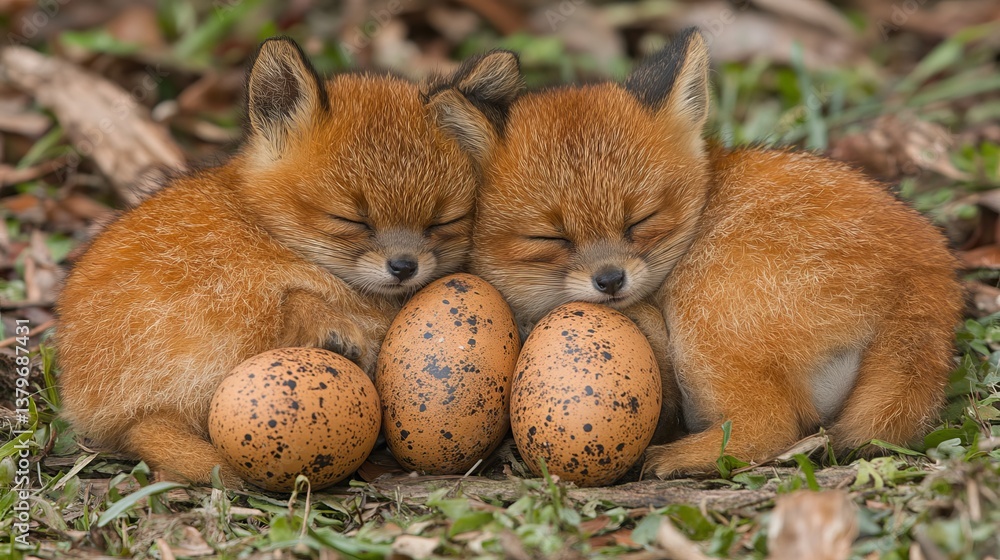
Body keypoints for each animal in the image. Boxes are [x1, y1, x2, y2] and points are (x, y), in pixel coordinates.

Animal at [56, 37, 523, 487]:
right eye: (350, 219)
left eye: (443, 222)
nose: (404, 267)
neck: (262, 225)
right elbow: (298, 298)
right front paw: (330, 326)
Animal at [470, 28, 964, 477]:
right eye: (550, 238)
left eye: (641, 220)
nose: (610, 280)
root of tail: (929, 271)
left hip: (704, 320)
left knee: (770, 428)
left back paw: (672, 459)